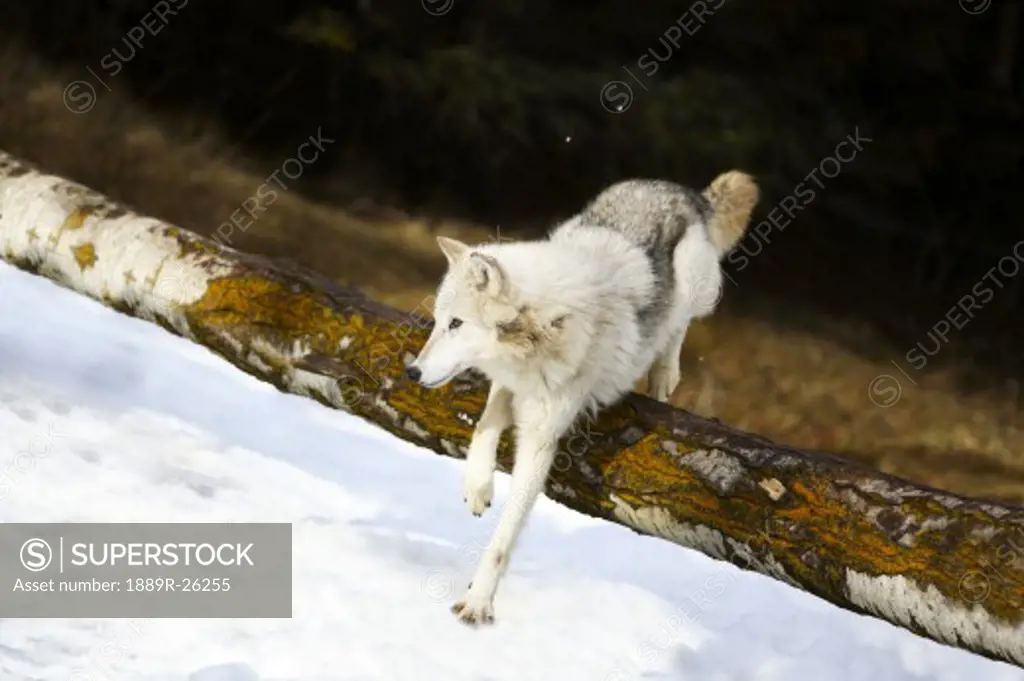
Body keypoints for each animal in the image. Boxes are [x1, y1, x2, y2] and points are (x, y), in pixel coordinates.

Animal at [403, 168, 757, 622]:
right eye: (437, 321)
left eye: (455, 324)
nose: (412, 372)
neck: (549, 322)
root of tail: (679, 189)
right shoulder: (512, 383)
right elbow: (485, 425)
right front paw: (478, 487)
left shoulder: (541, 440)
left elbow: (502, 540)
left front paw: (478, 603)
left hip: (693, 280)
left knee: (679, 323)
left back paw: (662, 374)